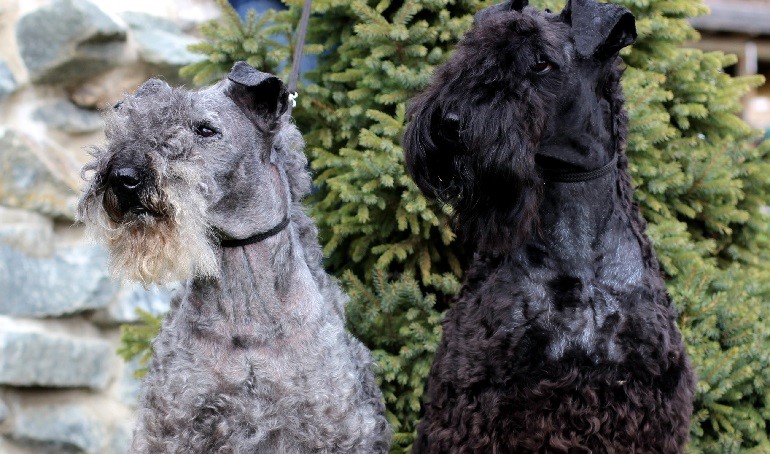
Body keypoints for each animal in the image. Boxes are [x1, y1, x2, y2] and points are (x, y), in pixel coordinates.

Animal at [78, 62, 390, 452]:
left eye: (205, 129)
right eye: (127, 121)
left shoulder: (335, 428)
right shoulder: (170, 425)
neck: (246, 318)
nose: (123, 177)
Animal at [402, 1, 696, 452]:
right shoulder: (476, 392)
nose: (449, 121)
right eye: (470, 48)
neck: (580, 258)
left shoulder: (647, 396)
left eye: (541, 62)